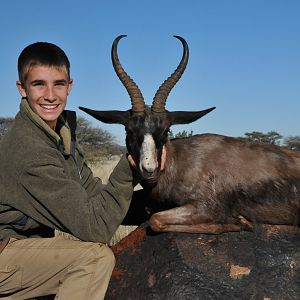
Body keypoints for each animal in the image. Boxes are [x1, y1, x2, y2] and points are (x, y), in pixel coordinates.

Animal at [79, 34, 300, 233]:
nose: (149, 170)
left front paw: (239, 221)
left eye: (166, 130)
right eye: (129, 129)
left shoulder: (204, 207)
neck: (180, 163)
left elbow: (155, 220)